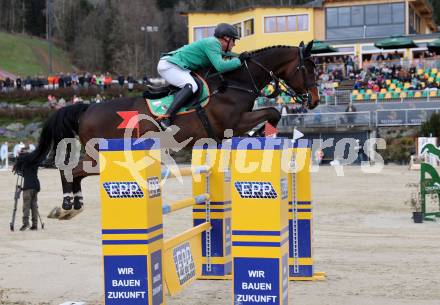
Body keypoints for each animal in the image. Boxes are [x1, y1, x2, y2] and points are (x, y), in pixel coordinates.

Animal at [15, 40, 320, 211]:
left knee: (75, 172)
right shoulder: (233, 122)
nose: (314, 100)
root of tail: (88, 108)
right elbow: (272, 111)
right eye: (308, 68)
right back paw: (67, 203)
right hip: (102, 155)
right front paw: (260, 134)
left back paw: (74, 203)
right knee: (71, 170)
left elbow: (272, 112)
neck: (236, 82)